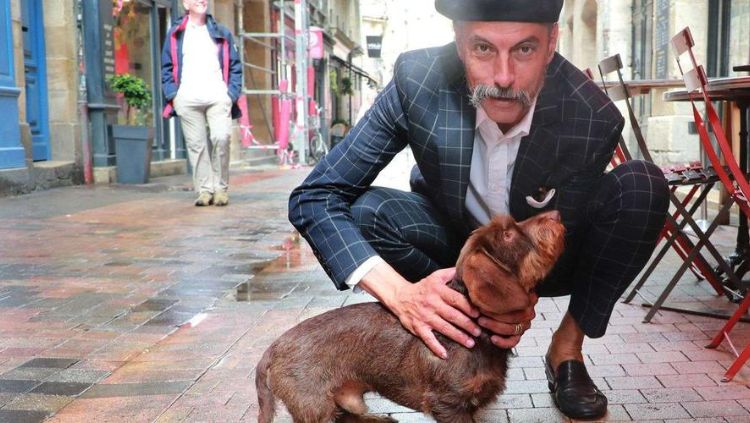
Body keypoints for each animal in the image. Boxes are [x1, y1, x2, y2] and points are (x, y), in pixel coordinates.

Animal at [258, 212, 564, 423]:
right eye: (508, 235)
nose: (556, 214)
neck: (478, 336)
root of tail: (272, 349)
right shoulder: (449, 404)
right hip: (315, 407)